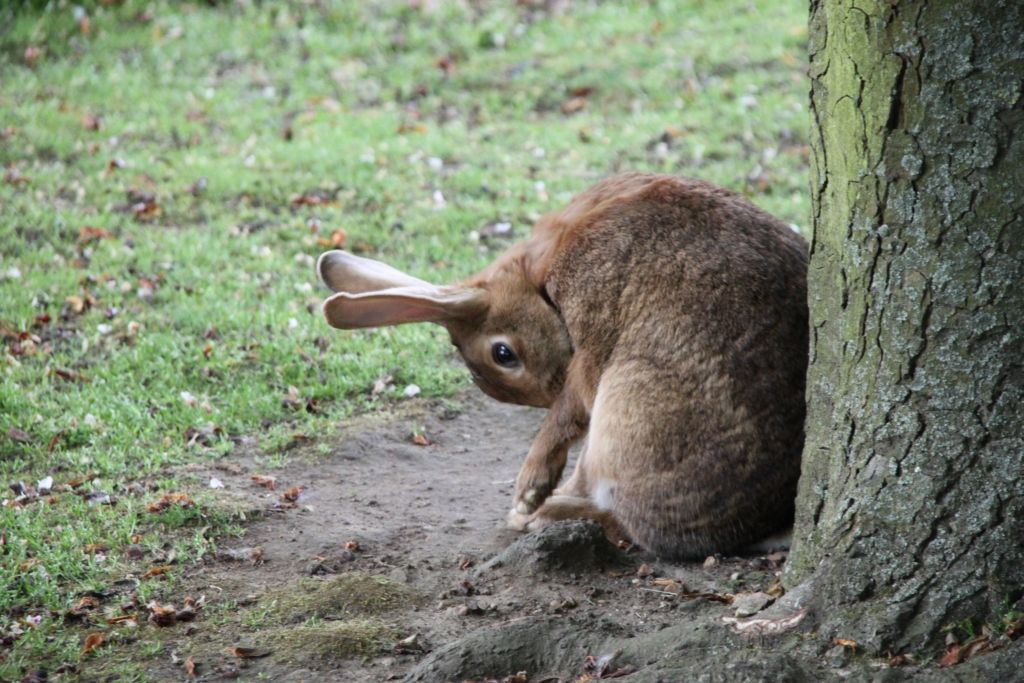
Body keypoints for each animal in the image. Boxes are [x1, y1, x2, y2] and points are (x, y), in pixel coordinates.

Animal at [315, 172, 802, 561]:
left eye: (503, 354)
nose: (547, 386)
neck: (540, 272)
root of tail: (763, 524)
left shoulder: (591, 337)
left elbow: (569, 408)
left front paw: (528, 488)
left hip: (628, 407)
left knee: (633, 525)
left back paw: (543, 514)